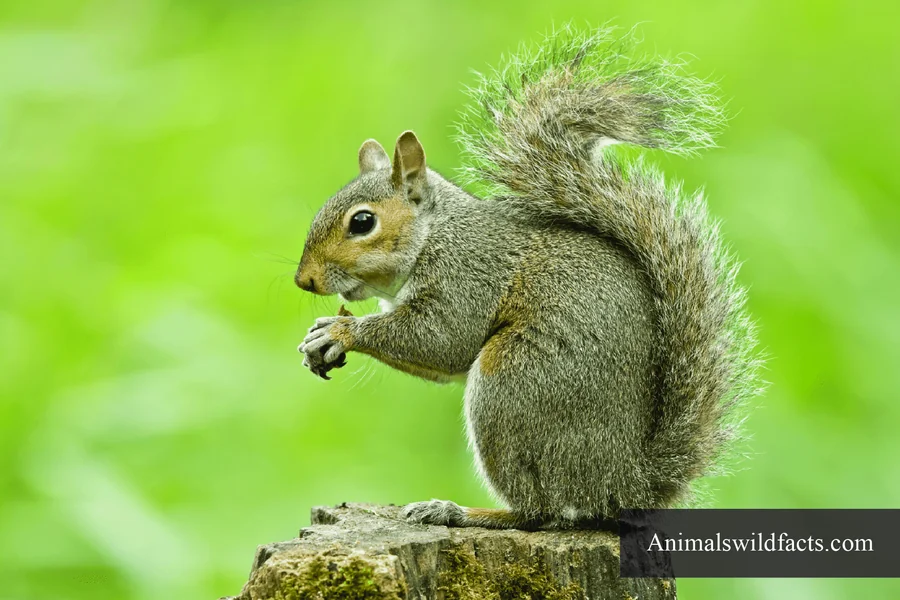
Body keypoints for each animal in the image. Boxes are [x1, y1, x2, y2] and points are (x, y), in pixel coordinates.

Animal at [295, 27, 760, 529]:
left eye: (363, 222)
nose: (304, 280)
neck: (435, 234)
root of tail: (622, 485)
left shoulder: (469, 274)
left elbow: (443, 339)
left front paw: (341, 331)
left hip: (512, 386)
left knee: (539, 510)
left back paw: (461, 511)